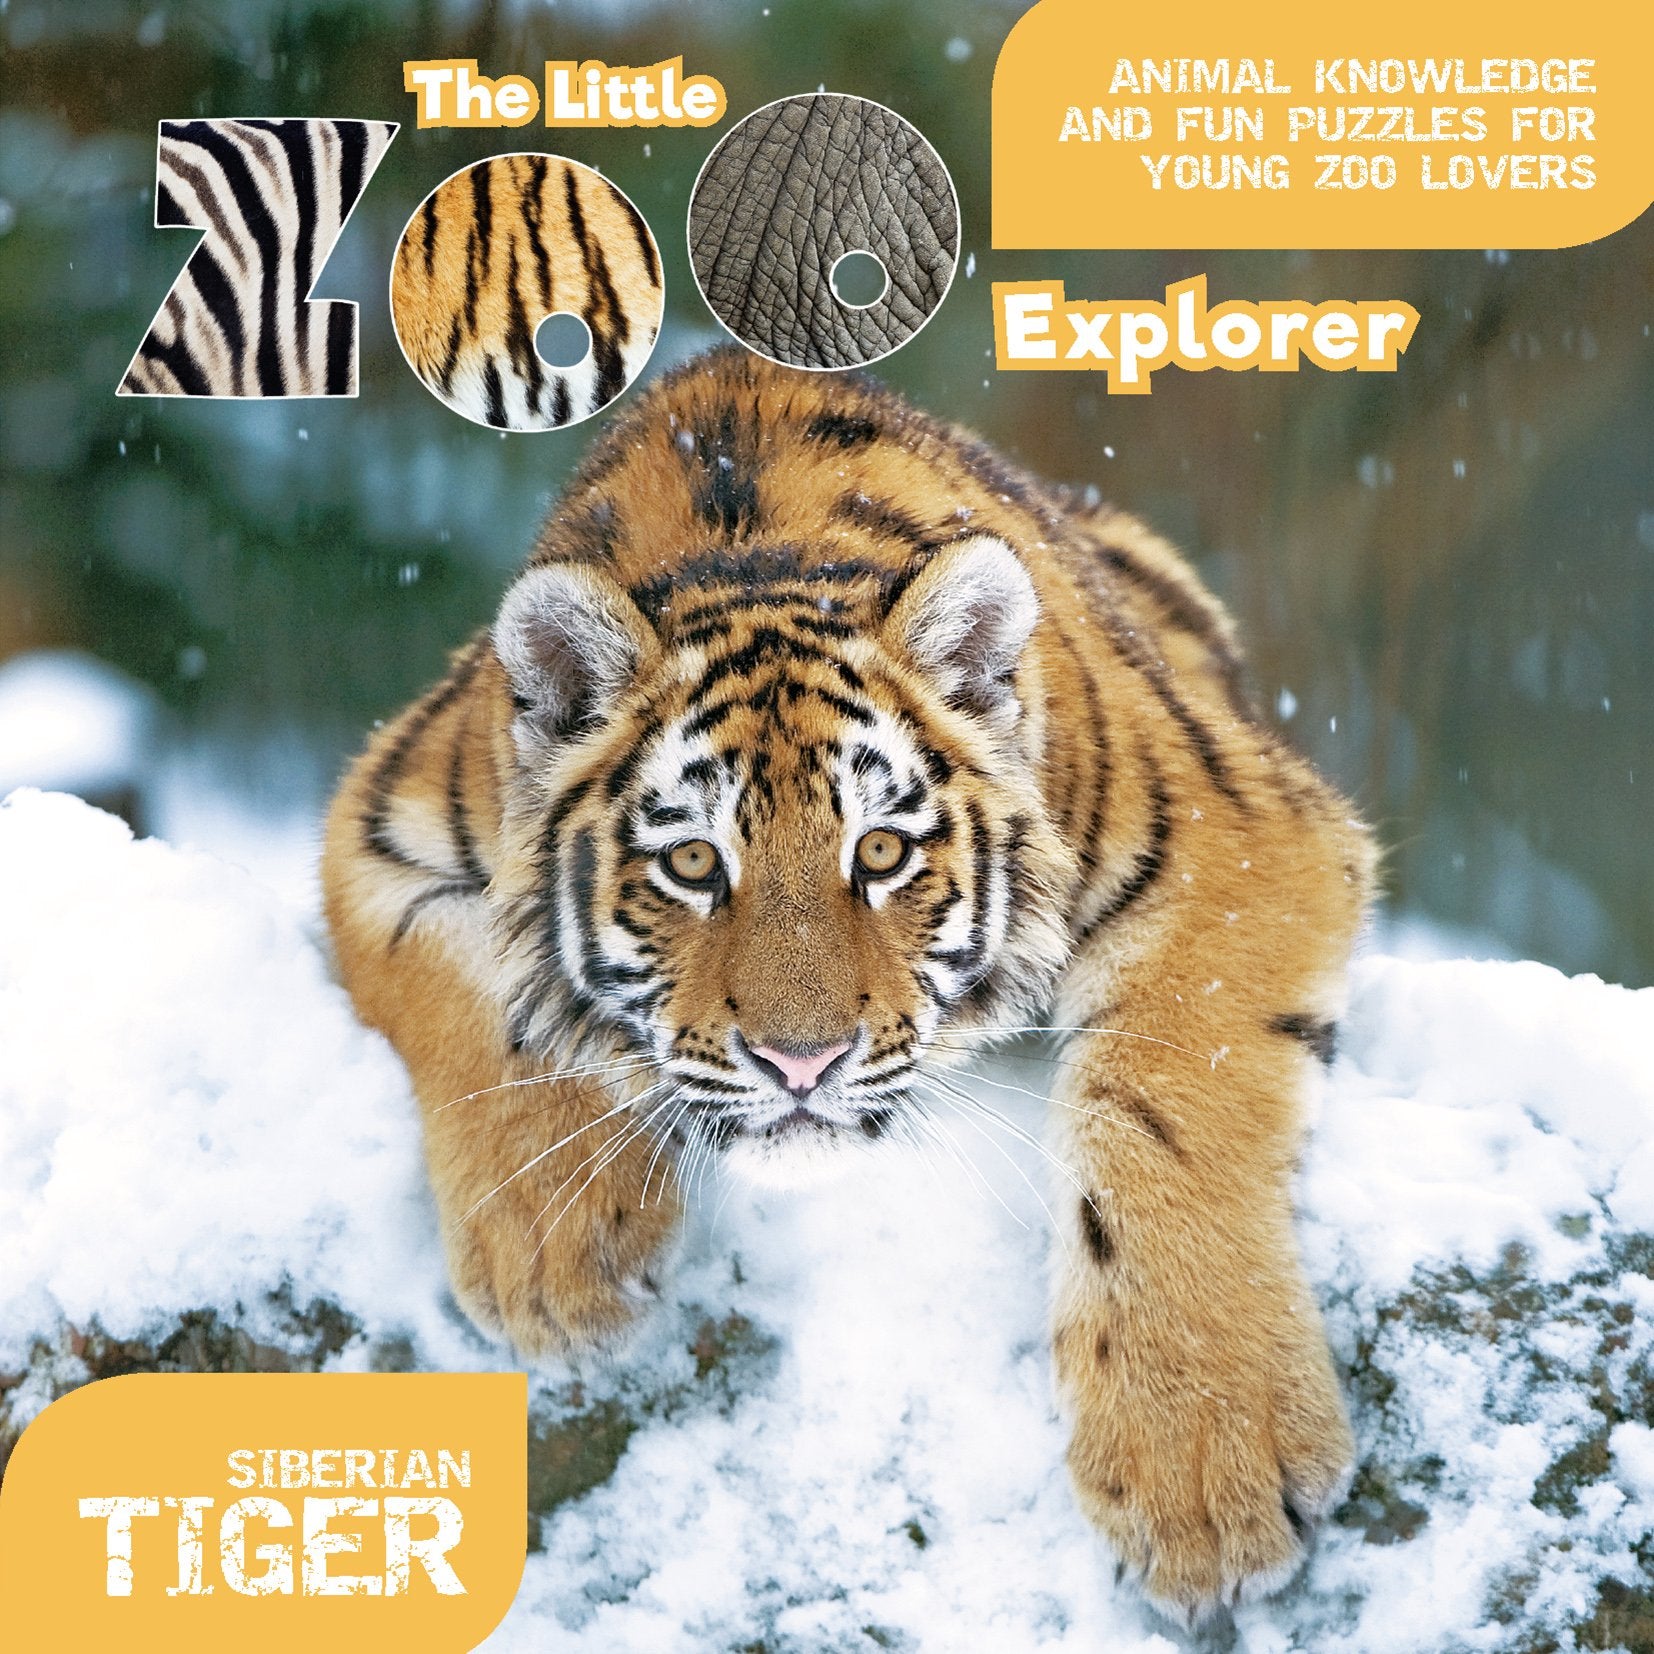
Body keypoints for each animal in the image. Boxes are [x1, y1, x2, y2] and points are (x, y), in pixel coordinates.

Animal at [321, 345, 1375, 1622]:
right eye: (690, 863)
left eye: (879, 851)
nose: (800, 1061)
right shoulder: (381, 821)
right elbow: (486, 1006)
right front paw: (558, 1257)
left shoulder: (1239, 831)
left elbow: (1164, 1103)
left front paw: (1205, 1467)